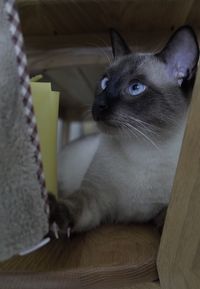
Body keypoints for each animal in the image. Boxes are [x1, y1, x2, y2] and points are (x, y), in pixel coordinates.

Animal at [49, 26, 199, 234]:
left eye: (136, 88)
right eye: (104, 82)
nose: (98, 105)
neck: (144, 146)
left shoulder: (165, 207)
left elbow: (165, 218)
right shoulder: (93, 200)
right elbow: (72, 207)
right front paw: (54, 217)